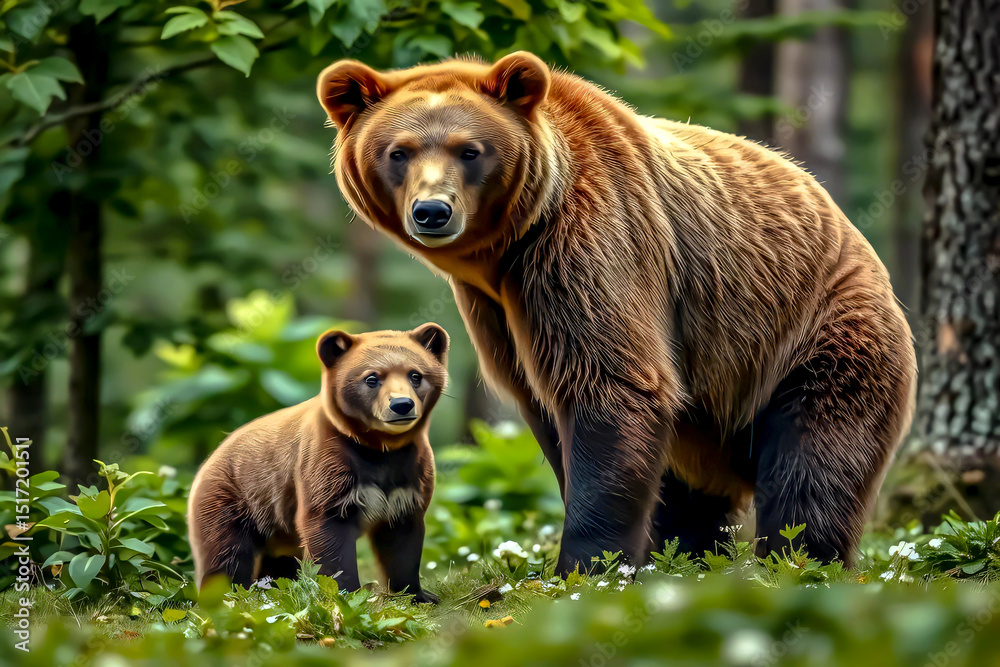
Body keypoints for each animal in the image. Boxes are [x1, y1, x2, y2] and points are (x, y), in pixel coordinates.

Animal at [188, 323, 448, 602]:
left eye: (415, 375)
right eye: (371, 378)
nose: (401, 405)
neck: (379, 449)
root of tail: (209, 459)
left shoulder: (408, 477)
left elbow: (402, 541)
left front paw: (418, 594)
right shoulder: (328, 466)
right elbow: (329, 533)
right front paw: (347, 592)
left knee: (276, 563)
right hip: (234, 499)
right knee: (227, 555)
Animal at [315, 52, 917, 573]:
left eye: (470, 150)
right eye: (399, 151)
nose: (432, 211)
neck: (507, 250)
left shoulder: (591, 244)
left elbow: (610, 385)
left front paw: (584, 564)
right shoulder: (497, 311)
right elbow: (546, 407)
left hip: (817, 331)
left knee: (813, 463)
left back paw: (799, 559)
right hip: (708, 411)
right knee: (690, 485)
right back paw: (687, 554)